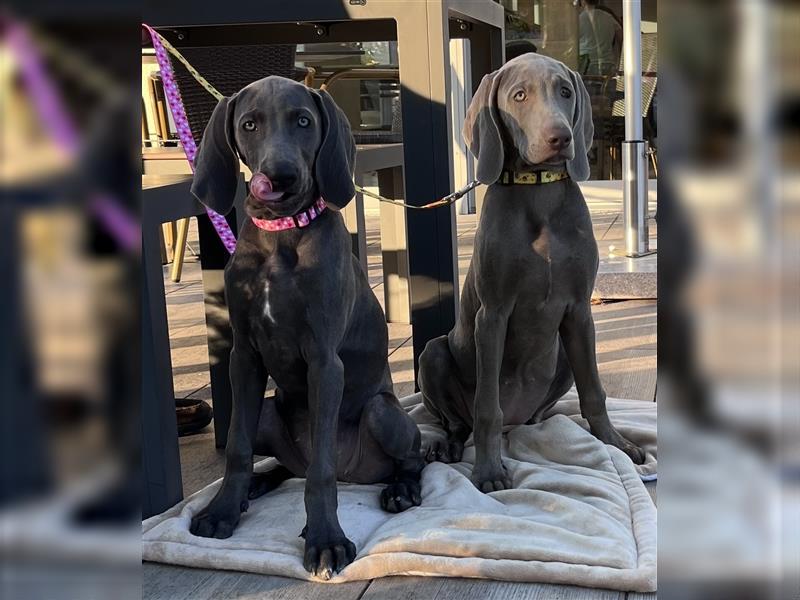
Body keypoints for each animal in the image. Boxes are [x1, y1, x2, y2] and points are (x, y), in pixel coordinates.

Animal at [188, 75, 424, 576]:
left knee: (409, 459)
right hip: (268, 412)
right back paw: (255, 487)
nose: (280, 178)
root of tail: (357, 474)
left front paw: (325, 540)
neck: (281, 236)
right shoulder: (243, 358)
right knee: (283, 464)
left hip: (382, 413)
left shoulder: (324, 362)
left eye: (303, 121)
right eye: (249, 124)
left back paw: (400, 490)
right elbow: (236, 448)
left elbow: (320, 471)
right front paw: (222, 510)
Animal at [418, 52, 644, 492]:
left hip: (563, 359)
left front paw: (615, 442)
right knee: (458, 421)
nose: (560, 138)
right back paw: (446, 446)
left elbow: (595, 391)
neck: (538, 191)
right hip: (433, 353)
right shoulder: (492, 314)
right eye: (519, 96)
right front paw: (489, 470)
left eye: (566, 91)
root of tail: (519, 421)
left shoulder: (580, 311)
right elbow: (486, 407)